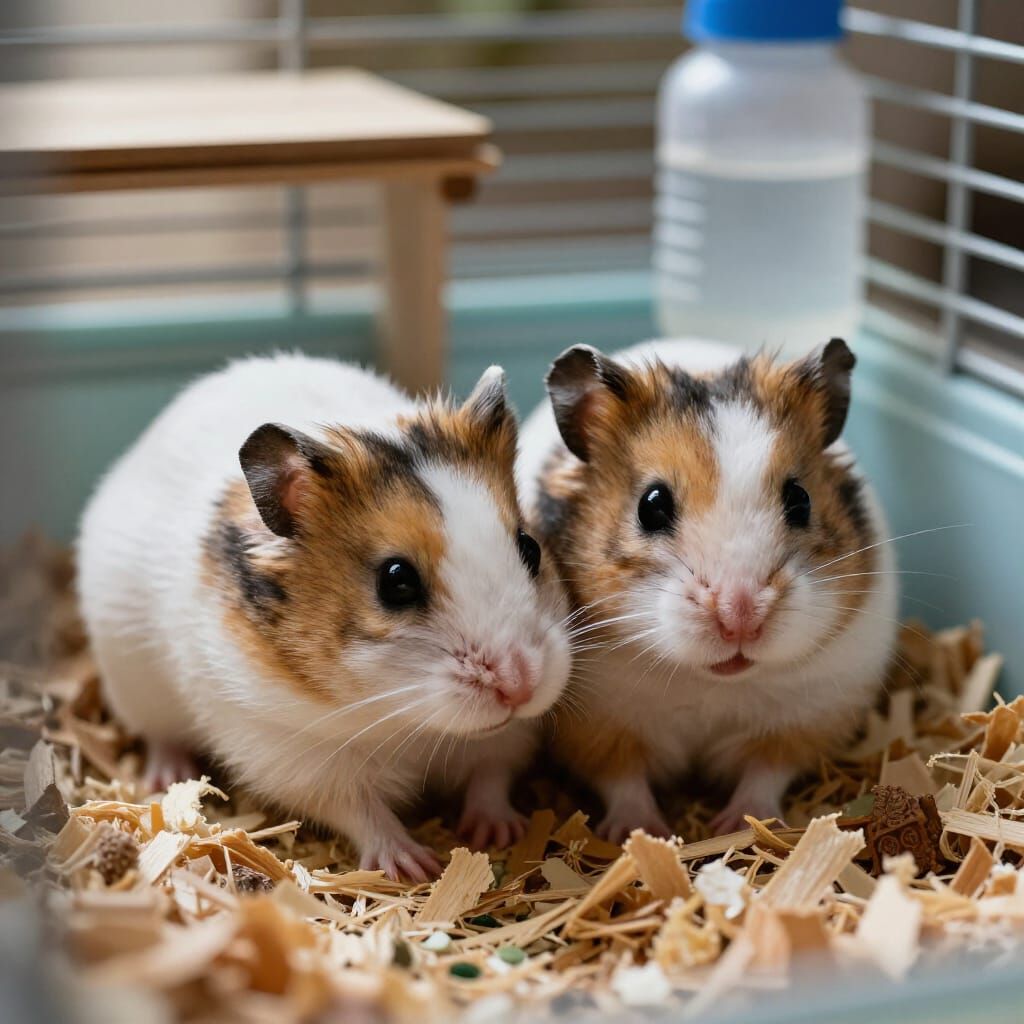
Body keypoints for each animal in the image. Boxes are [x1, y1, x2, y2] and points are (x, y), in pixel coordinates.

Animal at [78, 354, 571, 879]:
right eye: (396, 581)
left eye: (530, 546)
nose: (521, 685)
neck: (411, 722)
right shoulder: (301, 760)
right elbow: (363, 813)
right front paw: (414, 867)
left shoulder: (508, 737)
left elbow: (490, 777)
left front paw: (498, 833)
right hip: (135, 688)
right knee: (159, 739)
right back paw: (169, 775)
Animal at [517, 337, 898, 839]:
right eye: (651, 506)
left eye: (800, 500)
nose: (740, 616)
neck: (708, 681)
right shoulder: (599, 724)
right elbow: (624, 780)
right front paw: (642, 833)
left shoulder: (803, 718)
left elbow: (764, 774)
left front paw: (738, 825)